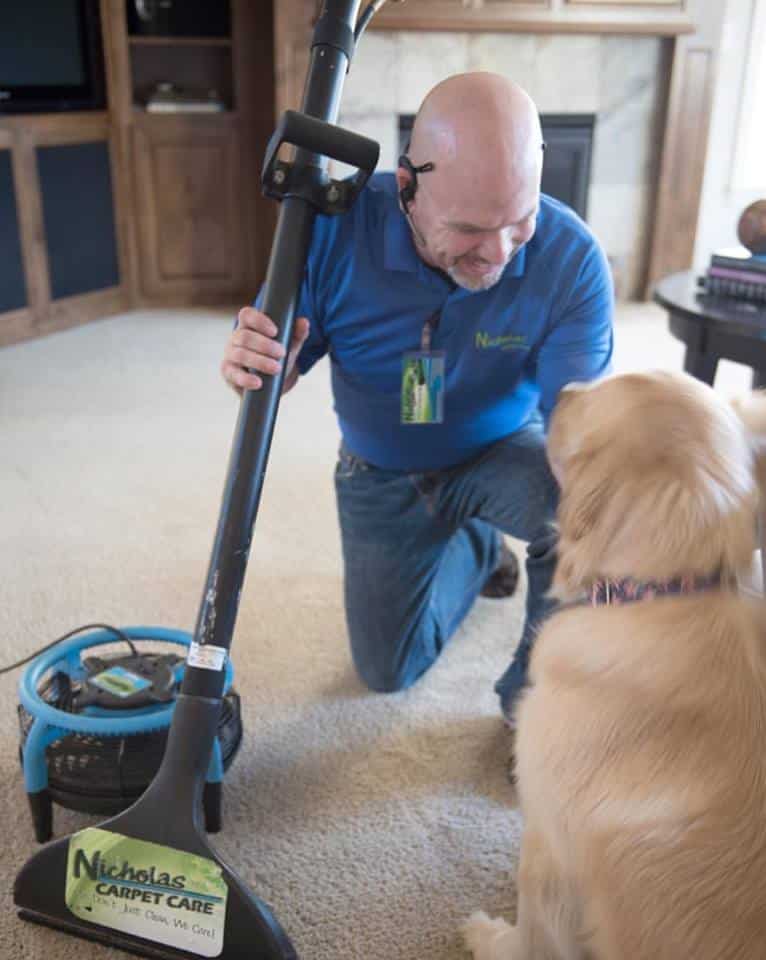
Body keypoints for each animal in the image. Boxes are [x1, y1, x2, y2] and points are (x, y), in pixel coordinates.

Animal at [464, 374, 766, 960]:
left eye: (606, 390)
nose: (563, 388)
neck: (667, 590)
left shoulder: (545, 845)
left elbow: (531, 934)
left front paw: (487, 935)